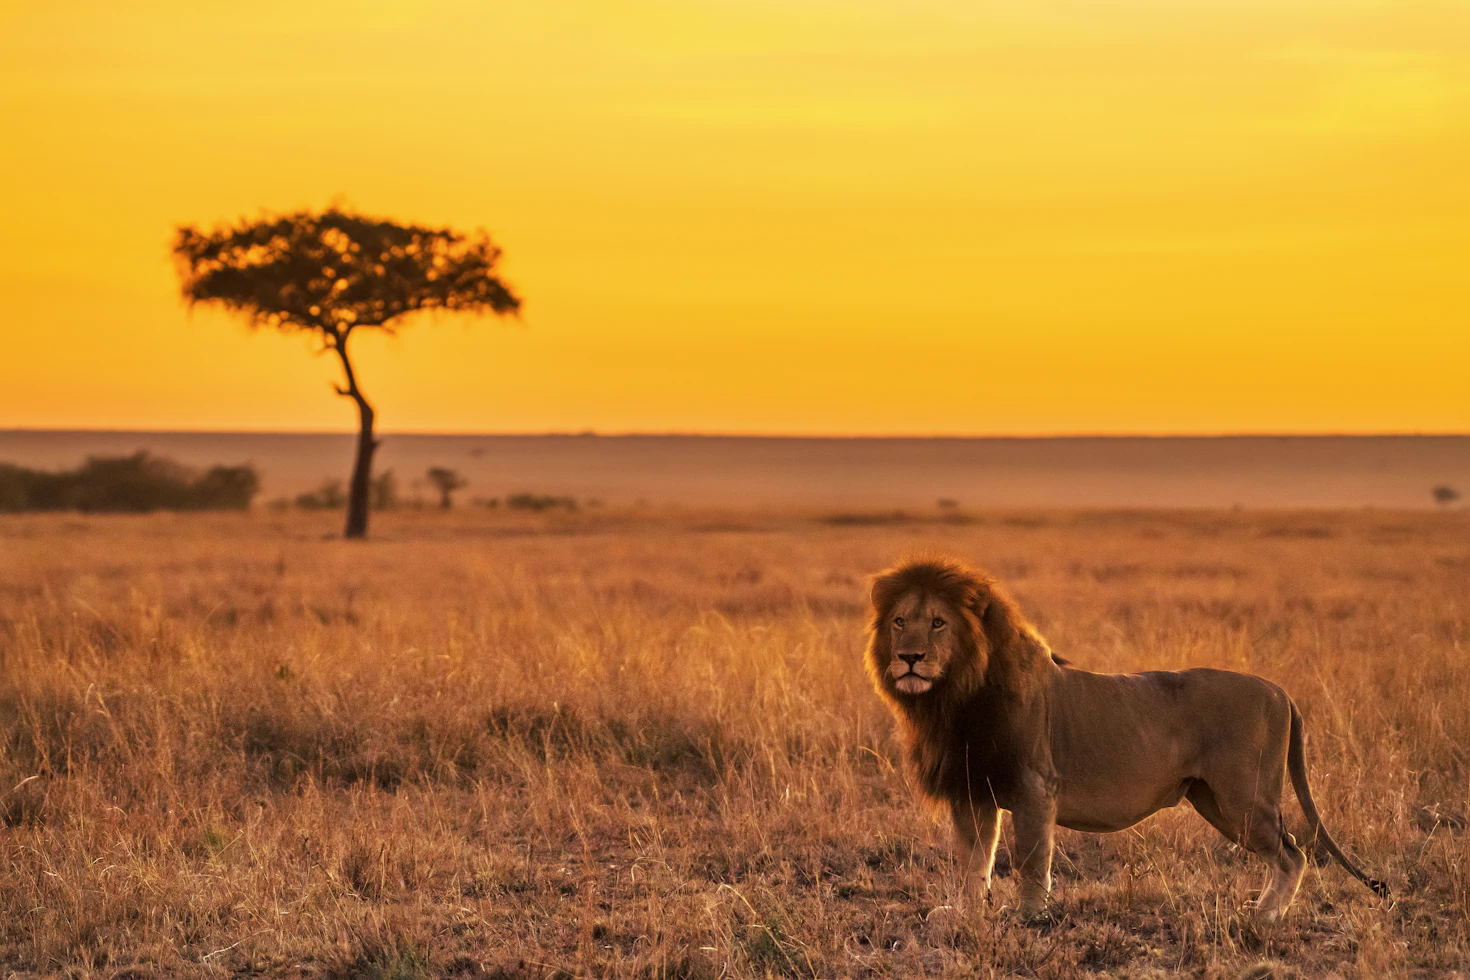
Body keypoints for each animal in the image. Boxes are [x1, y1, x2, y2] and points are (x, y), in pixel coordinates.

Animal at [864, 557, 1388, 922]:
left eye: (938, 623)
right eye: (899, 621)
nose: (909, 658)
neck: (954, 698)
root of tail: (1279, 690)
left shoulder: (1035, 786)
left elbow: (1031, 859)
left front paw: (1030, 916)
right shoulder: (972, 790)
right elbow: (974, 859)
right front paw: (966, 914)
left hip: (1243, 796)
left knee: (1292, 853)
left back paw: (1264, 918)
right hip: (1214, 801)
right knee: (1287, 850)